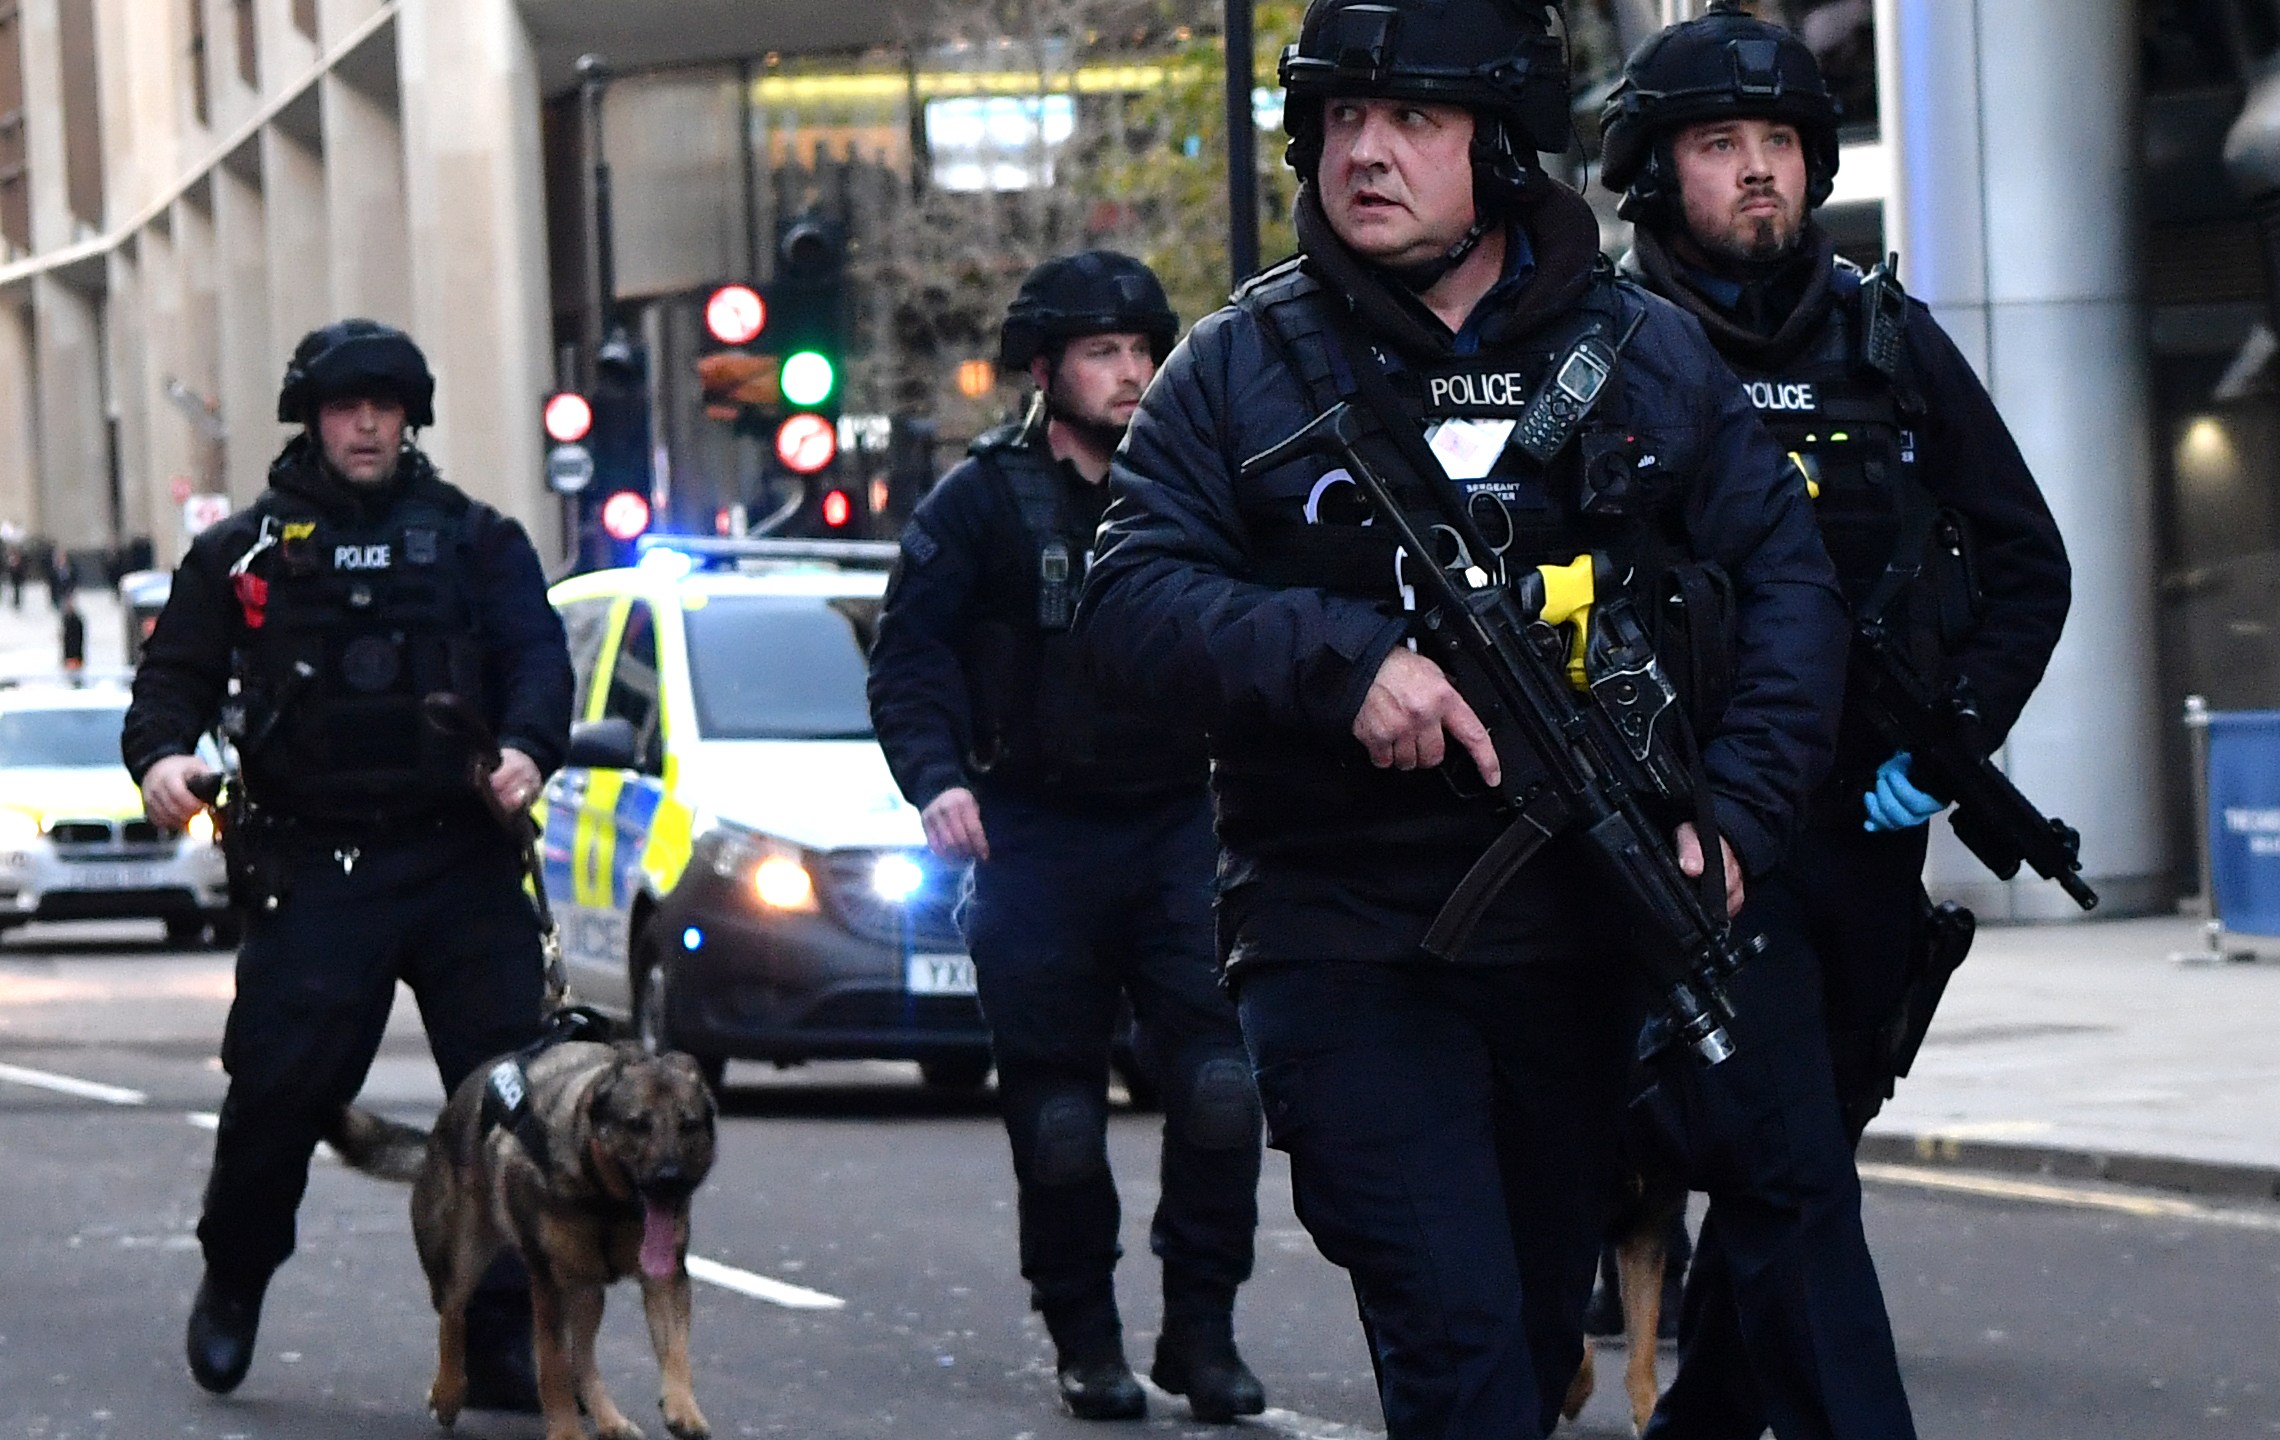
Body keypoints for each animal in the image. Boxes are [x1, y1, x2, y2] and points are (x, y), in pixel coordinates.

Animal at [330, 1038, 715, 1440]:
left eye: (688, 1125)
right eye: (637, 1125)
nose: (670, 1181)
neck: (606, 1200)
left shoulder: (664, 1280)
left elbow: (676, 1353)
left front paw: (683, 1409)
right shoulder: (550, 1287)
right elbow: (554, 1366)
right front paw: (565, 1433)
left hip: (586, 1293)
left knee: (583, 1359)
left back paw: (610, 1420)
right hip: (462, 1259)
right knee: (453, 1316)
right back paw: (448, 1392)